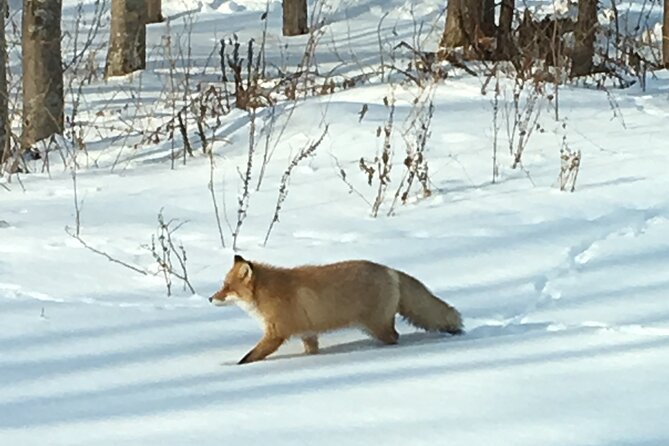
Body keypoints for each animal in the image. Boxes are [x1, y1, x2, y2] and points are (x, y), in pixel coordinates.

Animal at [211, 256, 462, 364]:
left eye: (227, 288)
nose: (210, 298)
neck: (266, 294)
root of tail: (389, 269)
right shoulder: (308, 333)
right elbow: (311, 351)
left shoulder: (276, 334)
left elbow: (248, 357)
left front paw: (234, 367)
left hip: (376, 326)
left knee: (394, 337)